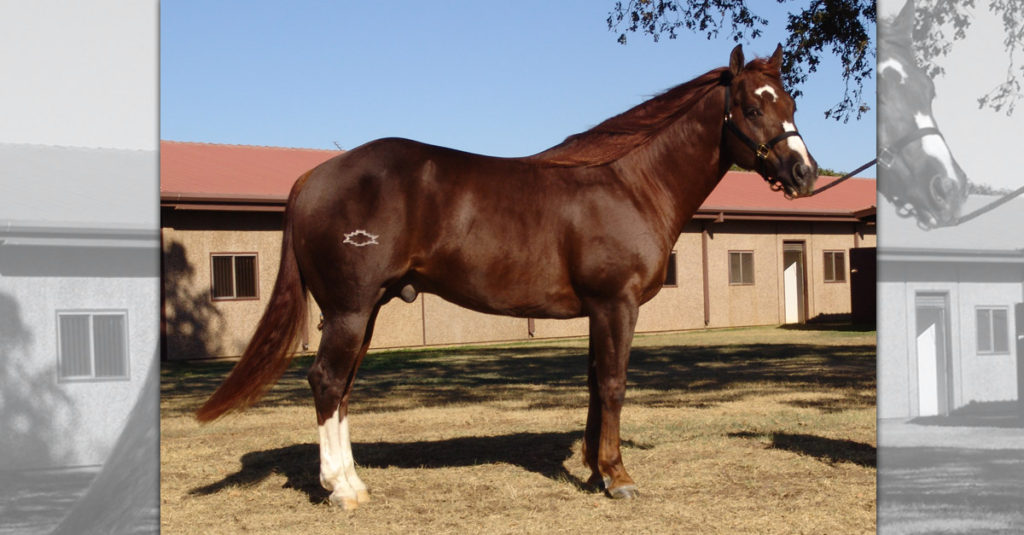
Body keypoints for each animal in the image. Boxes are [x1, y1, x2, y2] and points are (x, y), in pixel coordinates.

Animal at [195, 44, 818, 509]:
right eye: (751, 107)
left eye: (791, 101)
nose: (804, 173)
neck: (630, 184)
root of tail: (313, 177)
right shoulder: (616, 304)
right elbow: (614, 385)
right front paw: (618, 477)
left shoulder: (598, 310)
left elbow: (594, 383)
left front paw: (594, 471)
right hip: (350, 310)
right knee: (326, 381)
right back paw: (342, 490)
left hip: (361, 312)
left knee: (341, 386)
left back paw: (351, 481)